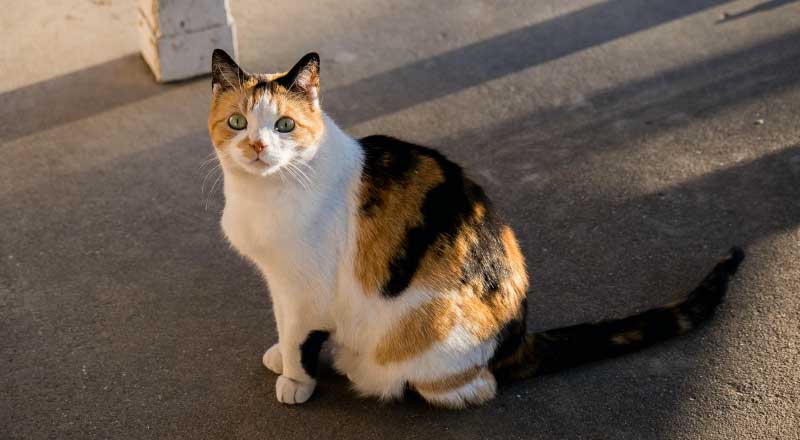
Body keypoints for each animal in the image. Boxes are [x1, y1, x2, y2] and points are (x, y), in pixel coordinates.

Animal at [205, 49, 744, 410]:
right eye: (237, 122)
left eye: (285, 125)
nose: (256, 146)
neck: (263, 194)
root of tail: (519, 337)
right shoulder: (279, 284)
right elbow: (285, 325)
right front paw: (282, 356)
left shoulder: (307, 289)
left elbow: (301, 335)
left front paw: (297, 379)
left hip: (426, 330)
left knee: (474, 387)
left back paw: (363, 369)